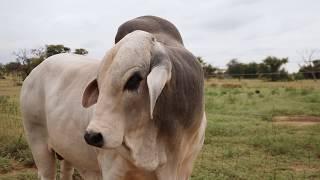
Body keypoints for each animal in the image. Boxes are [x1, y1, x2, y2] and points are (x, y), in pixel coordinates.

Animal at [20, 15, 206, 180]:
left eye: (134, 79)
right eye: (100, 82)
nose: (91, 136)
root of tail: (35, 71)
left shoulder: (184, 168)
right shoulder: (112, 171)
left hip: (67, 151)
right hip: (38, 143)